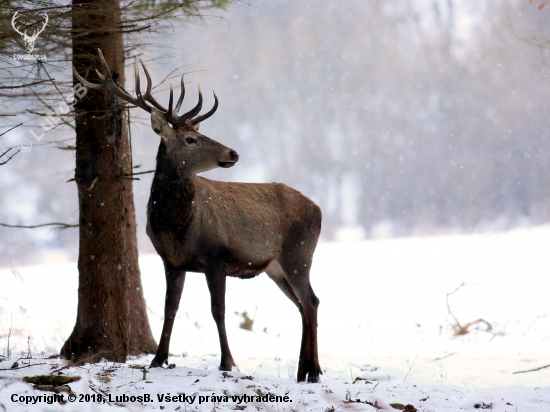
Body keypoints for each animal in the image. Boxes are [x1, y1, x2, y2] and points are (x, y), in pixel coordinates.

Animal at [74, 50, 324, 384]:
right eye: (190, 139)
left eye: (200, 133)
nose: (233, 153)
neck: (175, 226)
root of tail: (318, 209)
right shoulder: (171, 261)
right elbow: (170, 307)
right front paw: (159, 359)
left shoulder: (217, 255)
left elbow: (218, 310)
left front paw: (228, 362)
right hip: (276, 267)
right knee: (302, 304)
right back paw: (302, 371)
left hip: (299, 253)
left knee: (311, 301)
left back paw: (315, 371)